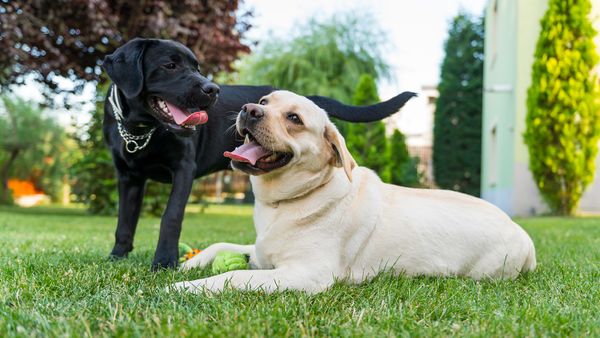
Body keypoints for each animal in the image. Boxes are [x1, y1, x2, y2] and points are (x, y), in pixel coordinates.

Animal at [101, 37, 414, 270]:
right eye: (169, 65)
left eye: (197, 67)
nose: (212, 89)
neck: (141, 130)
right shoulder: (128, 177)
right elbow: (124, 221)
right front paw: (117, 256)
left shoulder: (183, 169)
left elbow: (171, 217)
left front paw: (164, 261)